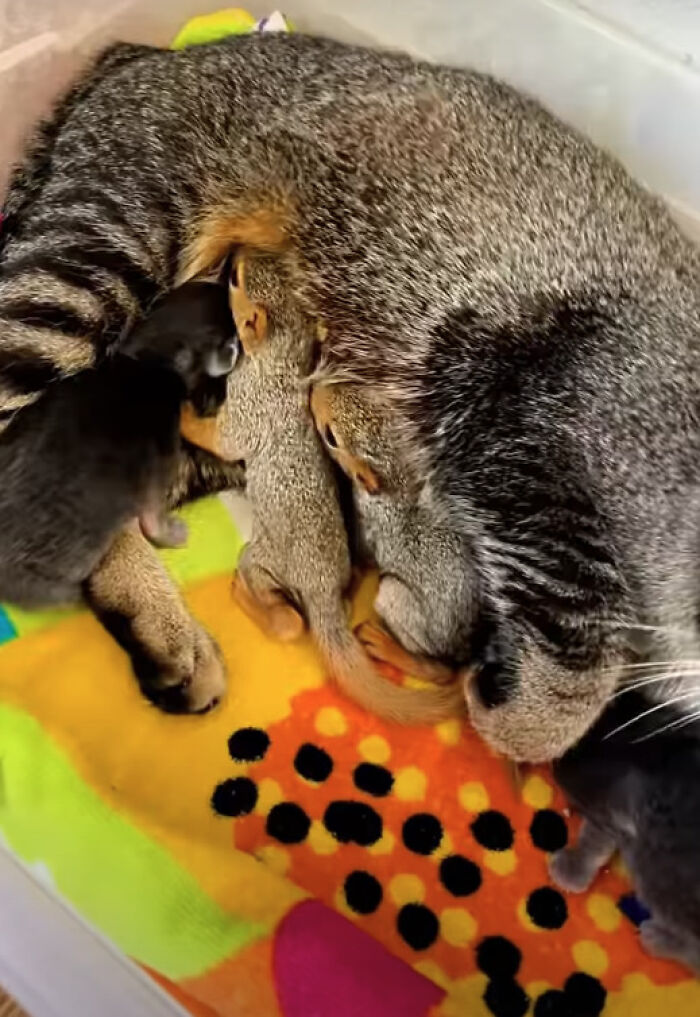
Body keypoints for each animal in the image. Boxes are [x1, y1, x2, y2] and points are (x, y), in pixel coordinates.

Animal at [181, 252, 464, 725]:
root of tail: (324, 596)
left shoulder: (250, 396)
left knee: (288, 622)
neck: (287, 355)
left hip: (263, 560)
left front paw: (183, 411)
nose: (235, 253)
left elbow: (223, 439)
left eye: (236, 280)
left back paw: (248, 595)